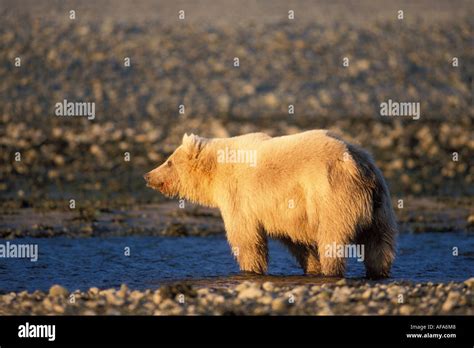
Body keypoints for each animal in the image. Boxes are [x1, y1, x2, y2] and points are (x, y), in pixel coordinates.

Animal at [144, 129, 396, 278]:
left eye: (168, 161)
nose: (148, 175)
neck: (216, 170)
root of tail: (358, 165)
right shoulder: (287, 211)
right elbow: (296, 240)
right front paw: (311, 267)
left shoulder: (239, 195)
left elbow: (245, 236)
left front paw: (250, 270)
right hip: (379, 202)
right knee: (379, 242)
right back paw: (378, 272)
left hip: (332, 196)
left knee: (332, 237)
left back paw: (332, 271)